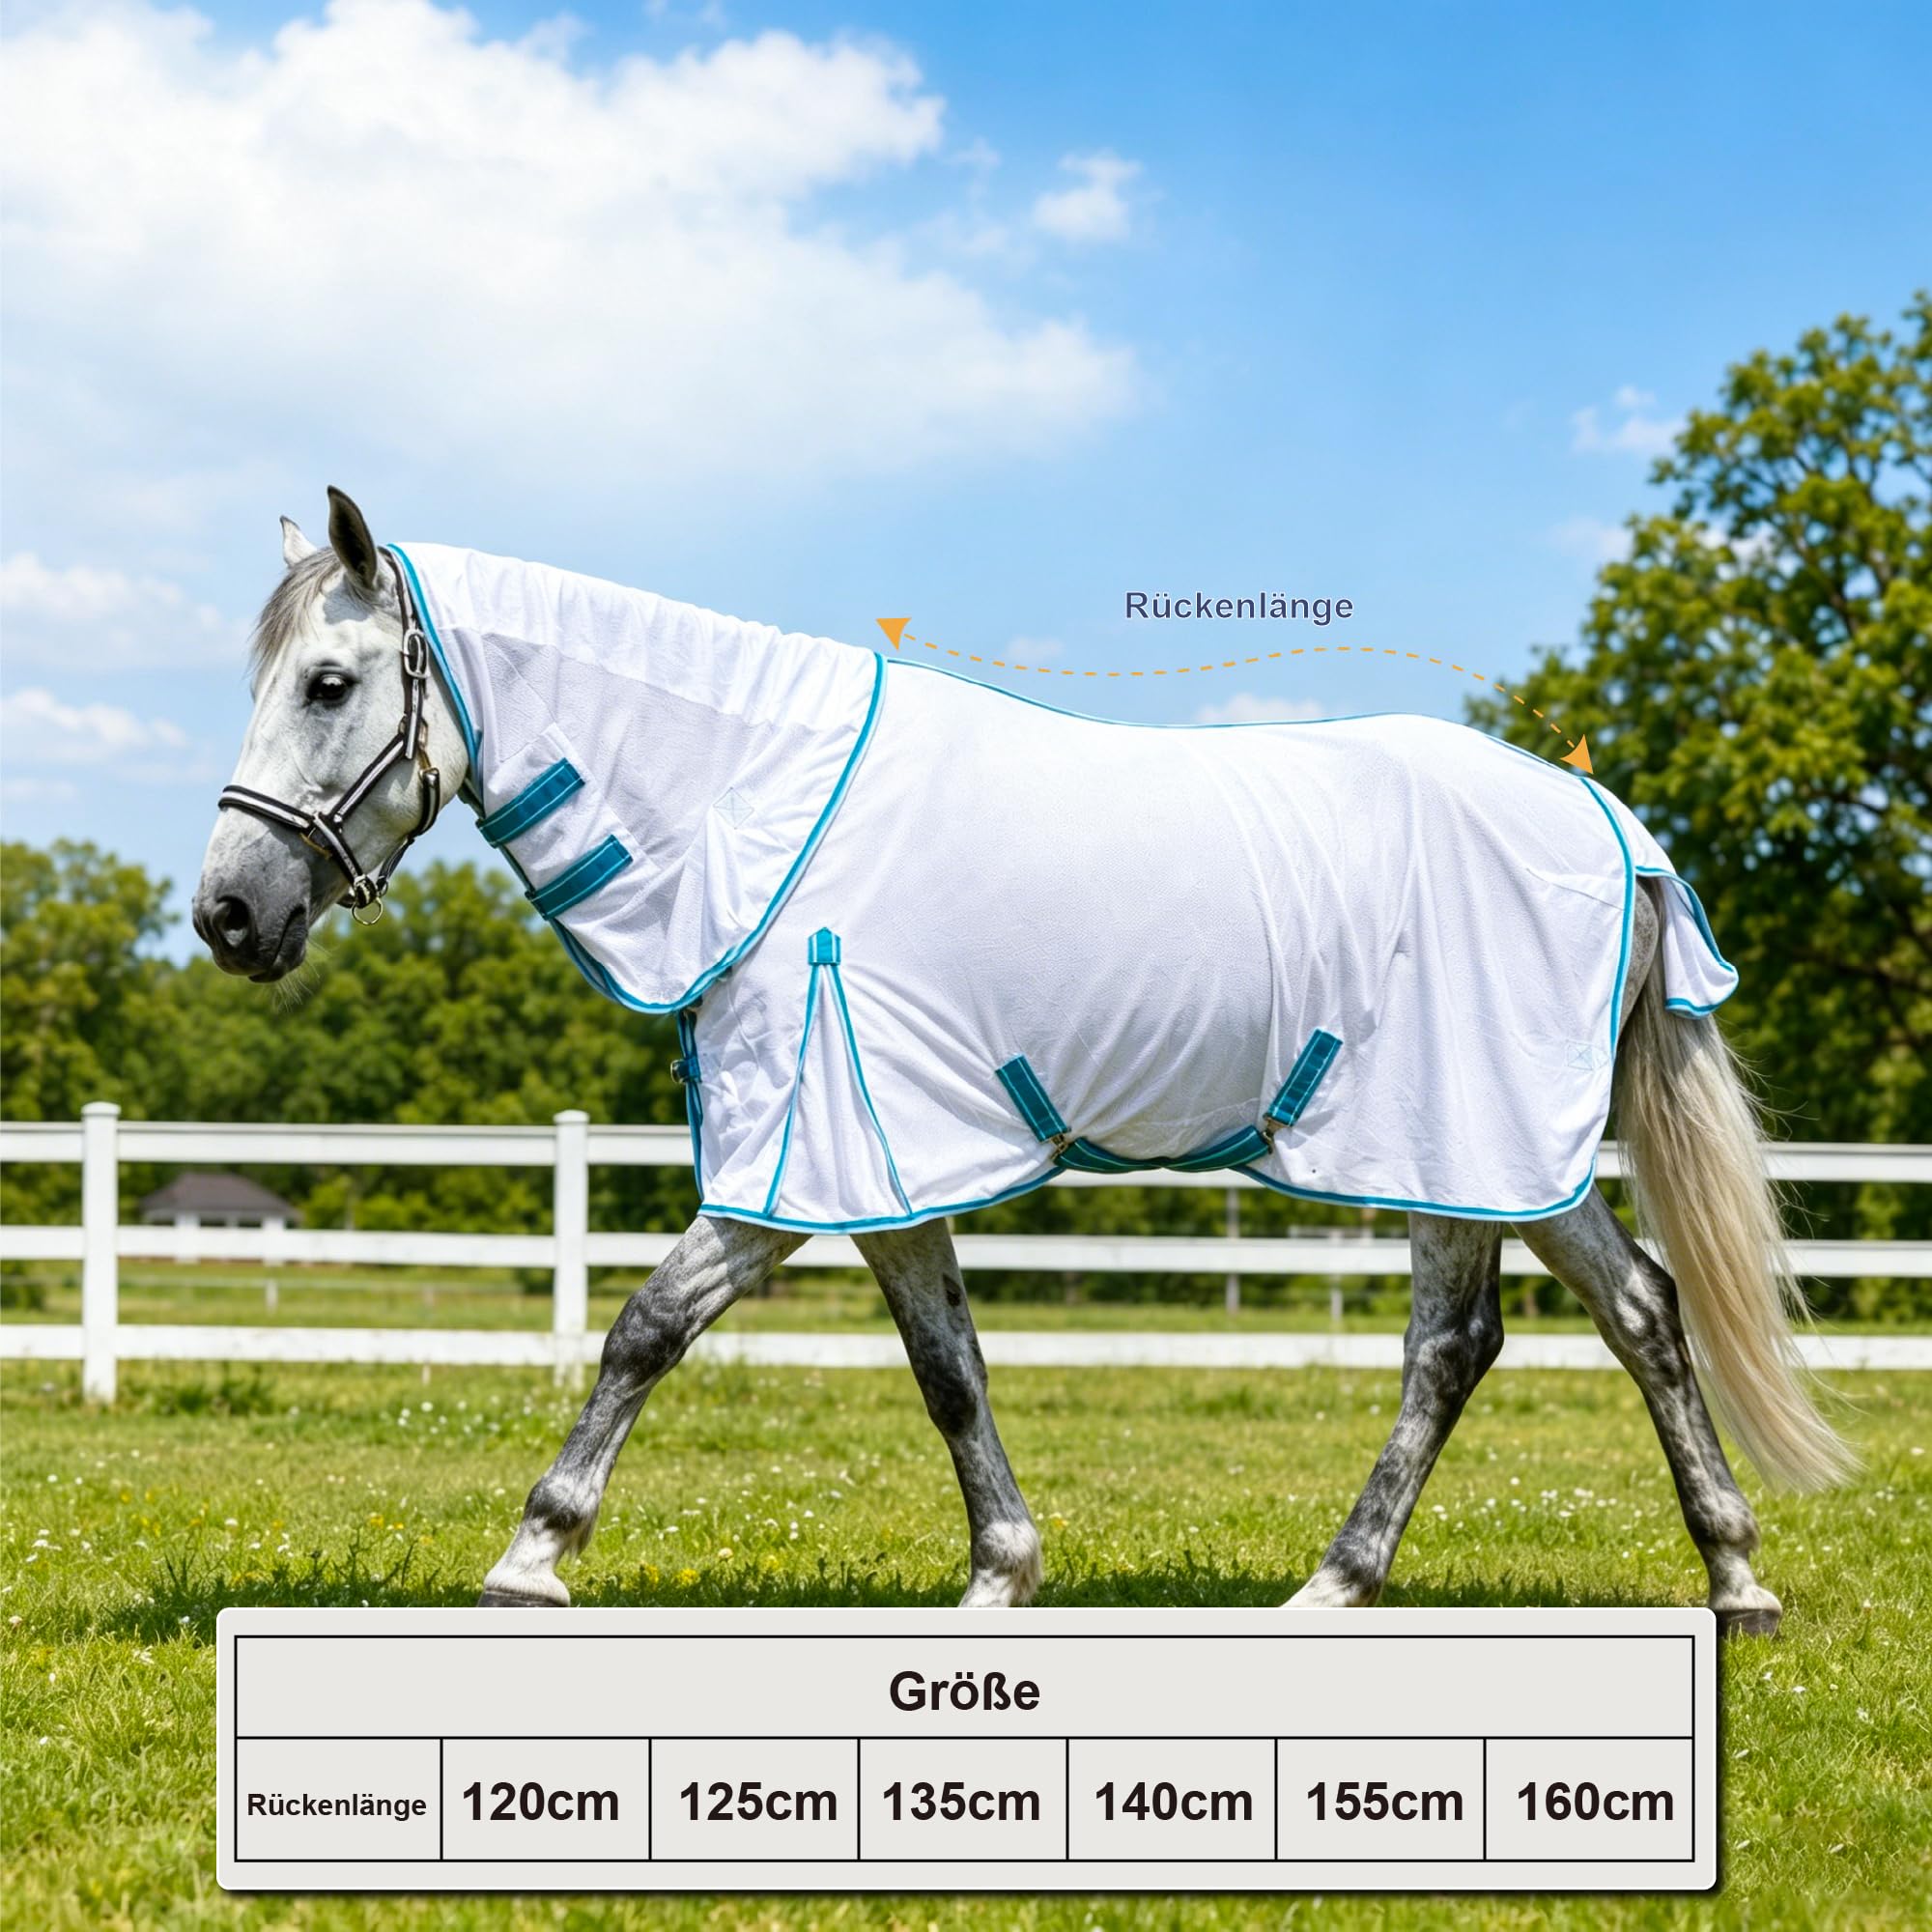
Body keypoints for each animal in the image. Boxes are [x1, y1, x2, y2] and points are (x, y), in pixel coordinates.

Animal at [192, 489, 1849, 1634]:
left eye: (329, 685)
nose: (228, 915)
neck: (755, 801)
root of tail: (1606, 820)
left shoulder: (798, 1158)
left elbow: (645, 1329)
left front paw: (531, 1556)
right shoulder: (881, 1160)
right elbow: (949, 1371)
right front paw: (1002, 1575)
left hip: (1476, 1141)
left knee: (1542, 1331)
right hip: (1474, 1161)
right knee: (1556, 1331)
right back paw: (1581, 1582)